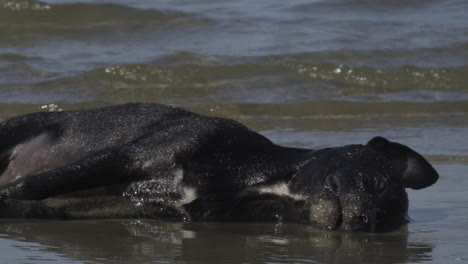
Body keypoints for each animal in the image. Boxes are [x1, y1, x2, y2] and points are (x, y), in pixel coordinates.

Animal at [0, 103, 438, 231]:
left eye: (384, 218)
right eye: (372, 182)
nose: (364, 220)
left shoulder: (154, 209)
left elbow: (54, 206)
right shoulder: (126, 157)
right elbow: (33, 185)